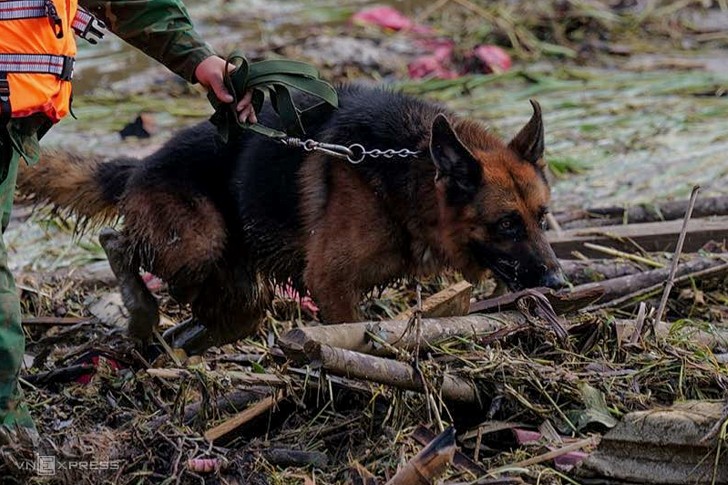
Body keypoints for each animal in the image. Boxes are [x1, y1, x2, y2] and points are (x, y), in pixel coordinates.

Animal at [15, 85, 564, 354]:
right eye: (506, 225)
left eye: (542, 218)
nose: (559, 282)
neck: (407, 166)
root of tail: (143, 164)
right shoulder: (331, 283)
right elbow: (351, 333)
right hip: (195, 242)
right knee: (117, 239)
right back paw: (141, 308)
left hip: (241, 295)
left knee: (217, 319)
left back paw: (173, 345)